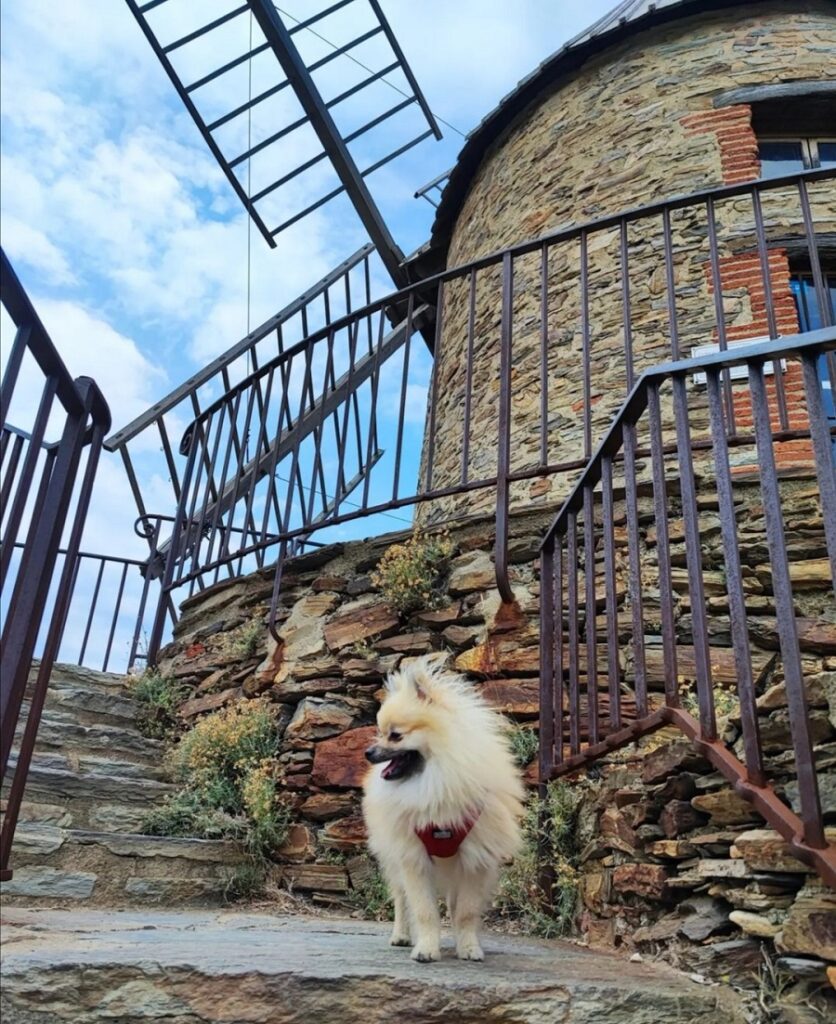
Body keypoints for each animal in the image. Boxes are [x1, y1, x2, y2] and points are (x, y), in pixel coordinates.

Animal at [360, 655, 522, 958]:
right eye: (379, 732)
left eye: (395, 735)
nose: (368, 752)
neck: (437, 778)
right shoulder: (413, 857)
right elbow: (423, 910)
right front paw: (426, 948)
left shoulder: (474, 860)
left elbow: (466, 912)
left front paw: (468, 946)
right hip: (393, 857)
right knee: (400, 899)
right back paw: (401, 935)